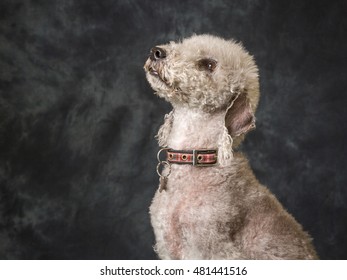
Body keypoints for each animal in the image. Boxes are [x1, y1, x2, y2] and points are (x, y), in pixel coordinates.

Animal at [143, 34, 318, 260]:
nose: (156, 52)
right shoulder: (167, 245)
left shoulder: (214, 248)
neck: (199, 159)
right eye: (183, 43)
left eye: (208, 64)